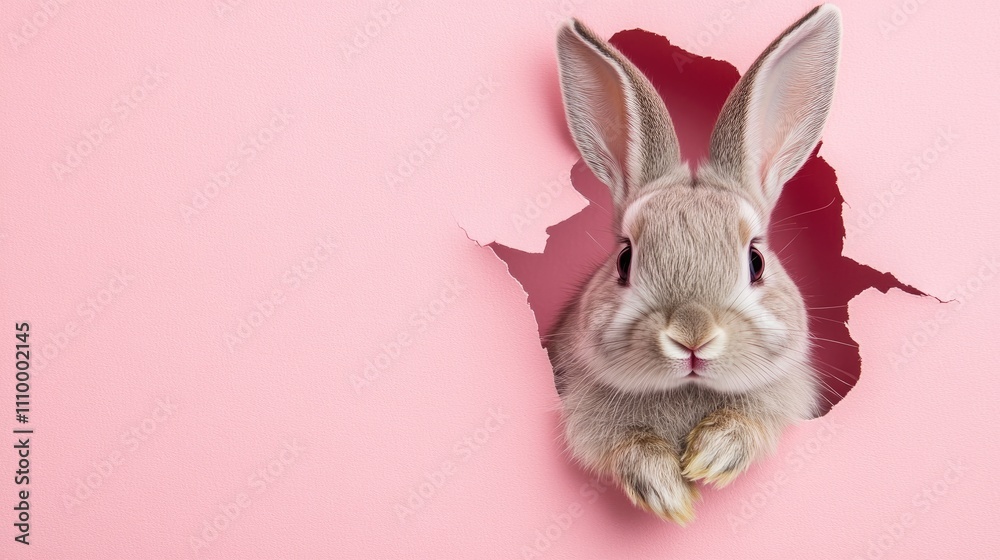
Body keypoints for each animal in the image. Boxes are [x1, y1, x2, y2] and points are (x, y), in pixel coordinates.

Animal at [547, 4, 841, 524]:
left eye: (755, 261)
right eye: (624, 260)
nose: (692, 334)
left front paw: (711, 457)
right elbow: (623, 445)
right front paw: (667, 490)